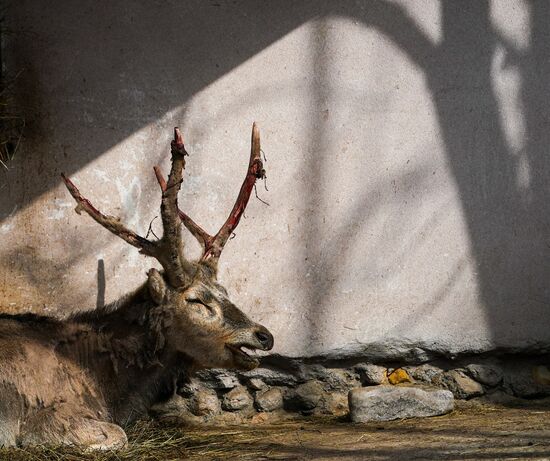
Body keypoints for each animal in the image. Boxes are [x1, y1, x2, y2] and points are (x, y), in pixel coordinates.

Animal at [0, 124, 274, 448]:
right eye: (196, 300)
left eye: (226, 292)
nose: (264, 335)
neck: (109, 389)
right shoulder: (44, 418)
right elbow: (118, 435)